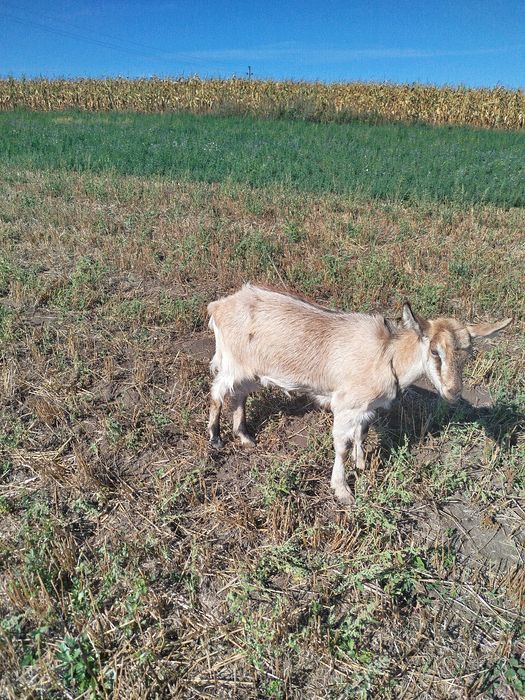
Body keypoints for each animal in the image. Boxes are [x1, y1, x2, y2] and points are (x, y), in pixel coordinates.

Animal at [207, 284, 511, 503]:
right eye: (435, 352)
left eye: (468, 354)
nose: (453, 392)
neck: (388, 355)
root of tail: (218, 305)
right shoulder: (346, 405)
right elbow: (341, 446)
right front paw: (343, 490)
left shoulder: (366, 407)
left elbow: (361, 433)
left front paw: (362, 463)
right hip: (233, 363)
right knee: (217, 392)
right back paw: (216, 438)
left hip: (253, 370)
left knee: (240, 394)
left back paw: (245, 437)